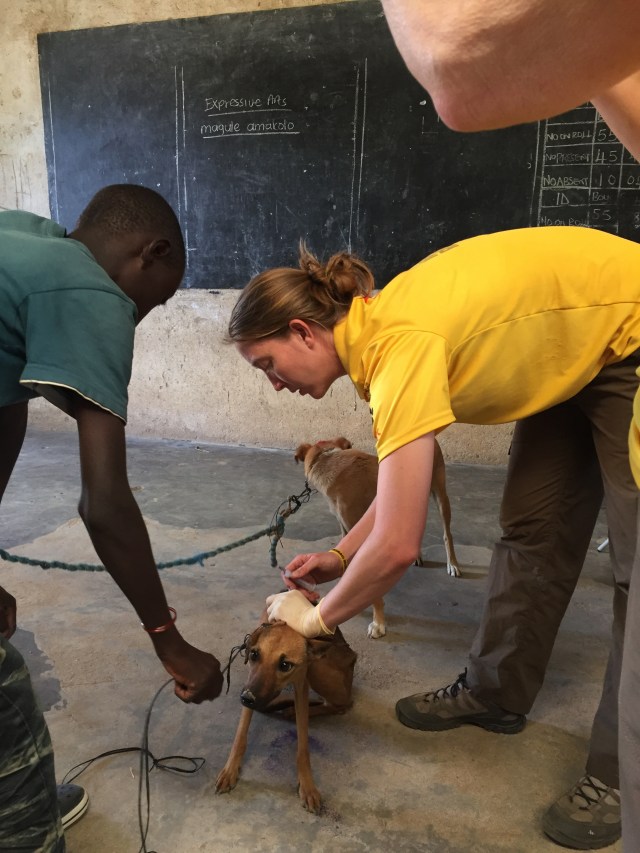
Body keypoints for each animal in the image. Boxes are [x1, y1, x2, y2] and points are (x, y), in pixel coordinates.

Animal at [214, 612, 356, 812]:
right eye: (254, 654)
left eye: (285, 665)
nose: (247, 698)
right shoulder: (250, 681)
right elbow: (240, 736)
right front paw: (230, 770)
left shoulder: (301, 683)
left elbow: (303, 747)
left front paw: (307, 785)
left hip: (318, 669)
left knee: (341, 704)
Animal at [296, 436, 460, 636]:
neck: (328, 459)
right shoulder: (346, 530)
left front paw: (378, 623)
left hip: (440, 494)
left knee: (447, 534)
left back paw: (452, 564)